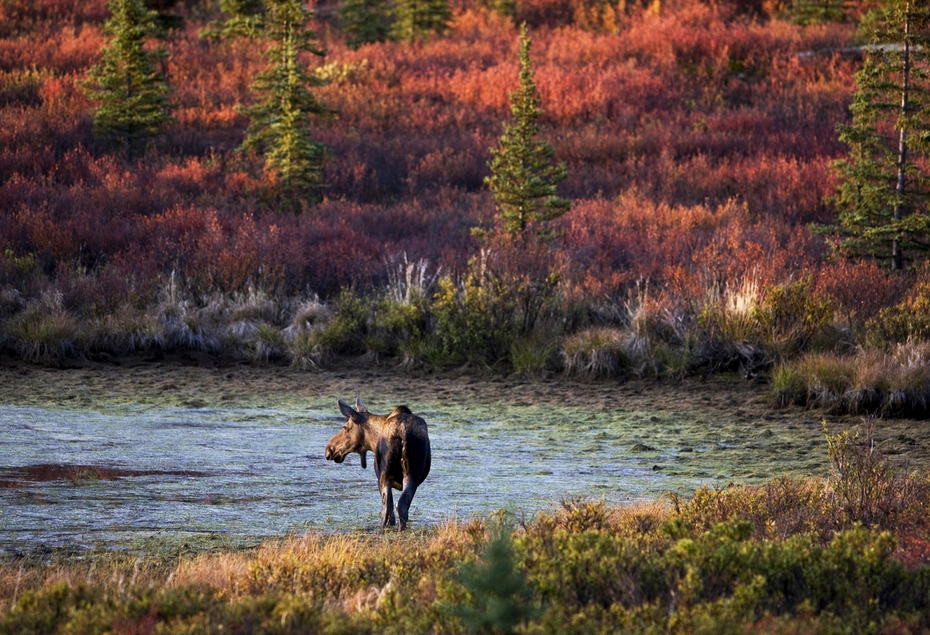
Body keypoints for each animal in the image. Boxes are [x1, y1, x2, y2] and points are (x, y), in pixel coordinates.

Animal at [324, 398, 430, 532]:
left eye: (345, 427)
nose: (329, 449)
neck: (373, 441)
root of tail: (403, 431)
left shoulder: (379, 476)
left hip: (385, 475)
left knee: (386, 509)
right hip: (412, 474)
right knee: (402, 505)